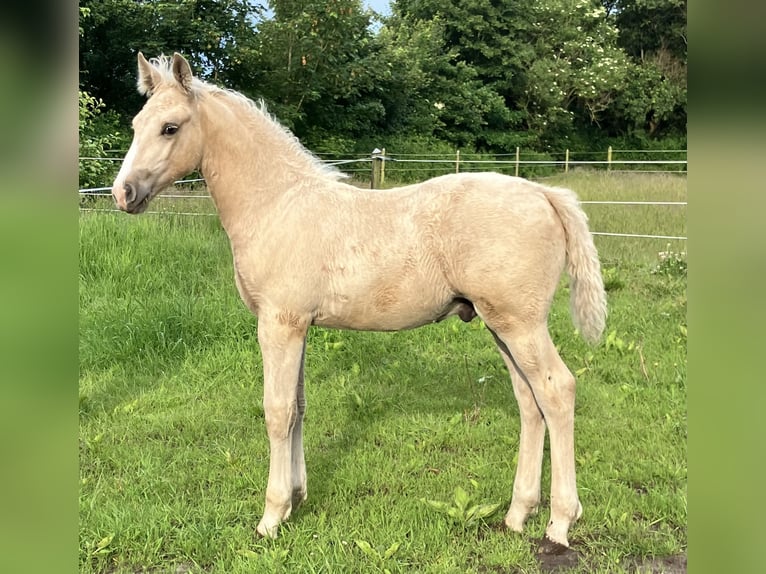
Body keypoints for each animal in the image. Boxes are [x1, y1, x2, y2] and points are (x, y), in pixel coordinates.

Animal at [112, 53, 608, 552]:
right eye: (136, 124)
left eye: (170, 128)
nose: (123, 193)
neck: (277, 204)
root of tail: (544, 194)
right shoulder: (299, 326)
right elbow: (299, 407)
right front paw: (297, 498)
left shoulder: (279, 323)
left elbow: (277, 411)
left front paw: (272, 515)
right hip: (501, 324)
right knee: (529, 402)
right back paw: (518, 514)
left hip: (520, 324)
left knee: (557, 391)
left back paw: (560, 522)